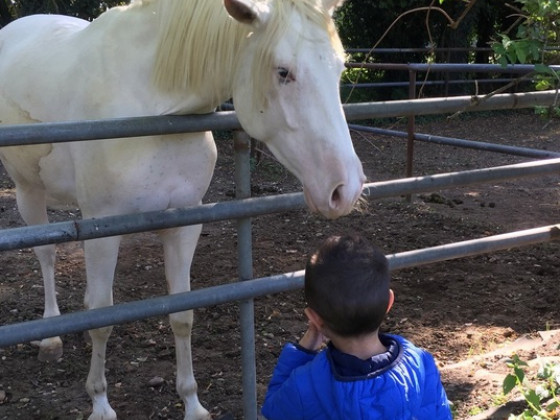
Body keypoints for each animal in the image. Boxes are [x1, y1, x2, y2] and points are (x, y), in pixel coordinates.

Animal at [0, 0, 364, 418]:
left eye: (339, 67)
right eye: (283, 72)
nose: (345, 188)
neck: (153, 106)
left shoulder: (186, 223)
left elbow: (182, 315)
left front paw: (192, 403)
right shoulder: (103, 228)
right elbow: (103, 319)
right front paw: (101, 403)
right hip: (28, 193)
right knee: (46, 257)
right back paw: (50, 337)